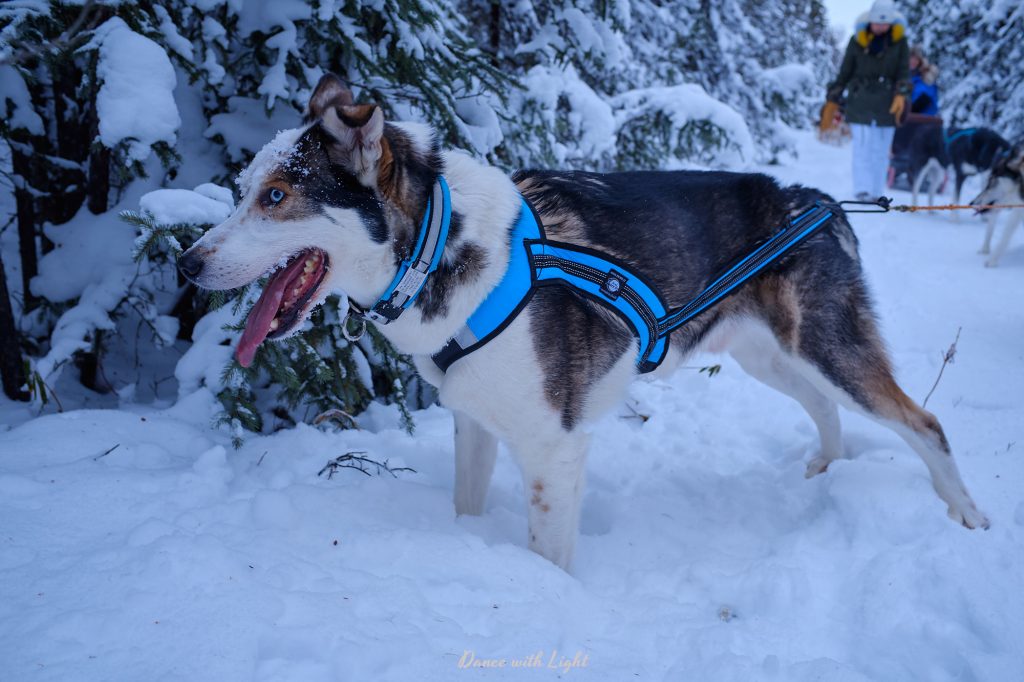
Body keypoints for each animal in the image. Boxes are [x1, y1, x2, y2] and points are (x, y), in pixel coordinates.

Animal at [178, 74, 991, 569]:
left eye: (278, 197)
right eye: (245, 189)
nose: (186, 264)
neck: (442, 244)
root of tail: (816, 200)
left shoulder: (553, 448)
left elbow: (548, 551)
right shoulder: (474, 422)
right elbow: (467, 504)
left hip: (825, 347)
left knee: (924, 423)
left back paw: (970, 521)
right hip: (773, 358)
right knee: (826, 409)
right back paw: (829, 467)